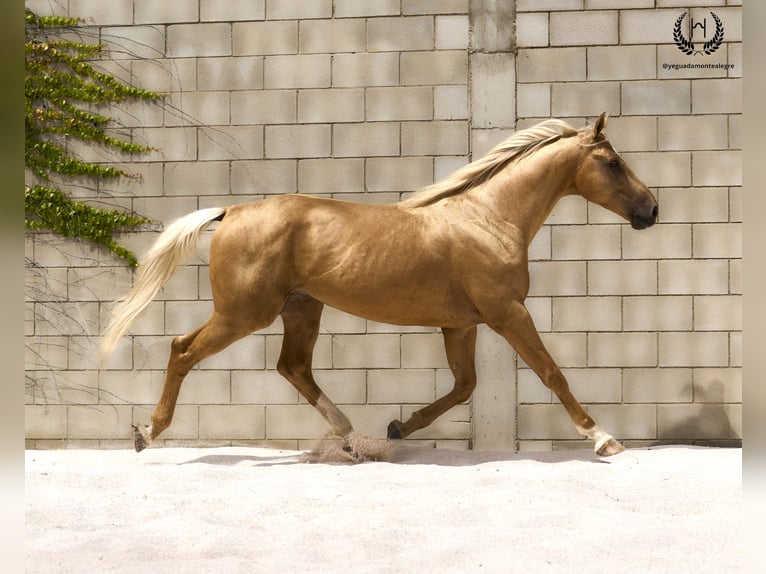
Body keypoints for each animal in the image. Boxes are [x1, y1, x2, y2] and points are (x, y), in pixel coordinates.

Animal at [99, 113, 656, 460]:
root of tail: (232, 211)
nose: (652, 210)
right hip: (244, 313)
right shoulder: (507, 312)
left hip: (301, 308)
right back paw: (147, 433)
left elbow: (464, 386)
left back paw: (350, 439)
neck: (489, 217)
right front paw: (603, 438)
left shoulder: (461, 325)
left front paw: (396, 429)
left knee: (293, 368)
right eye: (613, 162)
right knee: (182, 349)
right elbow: (550, 373)